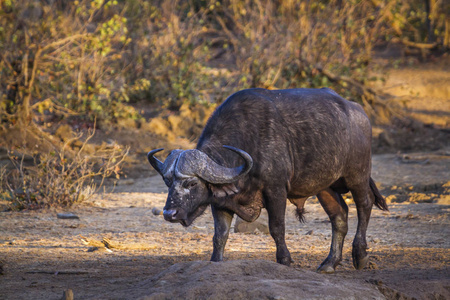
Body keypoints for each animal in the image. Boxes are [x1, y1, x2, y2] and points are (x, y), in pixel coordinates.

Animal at [148, 88, 386, 274]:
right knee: (340, 216)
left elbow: (276, 227)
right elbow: (220, 235)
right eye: (168, 182)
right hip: (325, 187)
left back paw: (360, 255)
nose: (169, 214)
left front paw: (284, 259)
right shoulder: (221, 202)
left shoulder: (276, 190)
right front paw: (216, 261)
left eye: (191, 183)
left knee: (364, 205)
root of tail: (359, 113)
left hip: (357, 175)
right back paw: (329, 262)